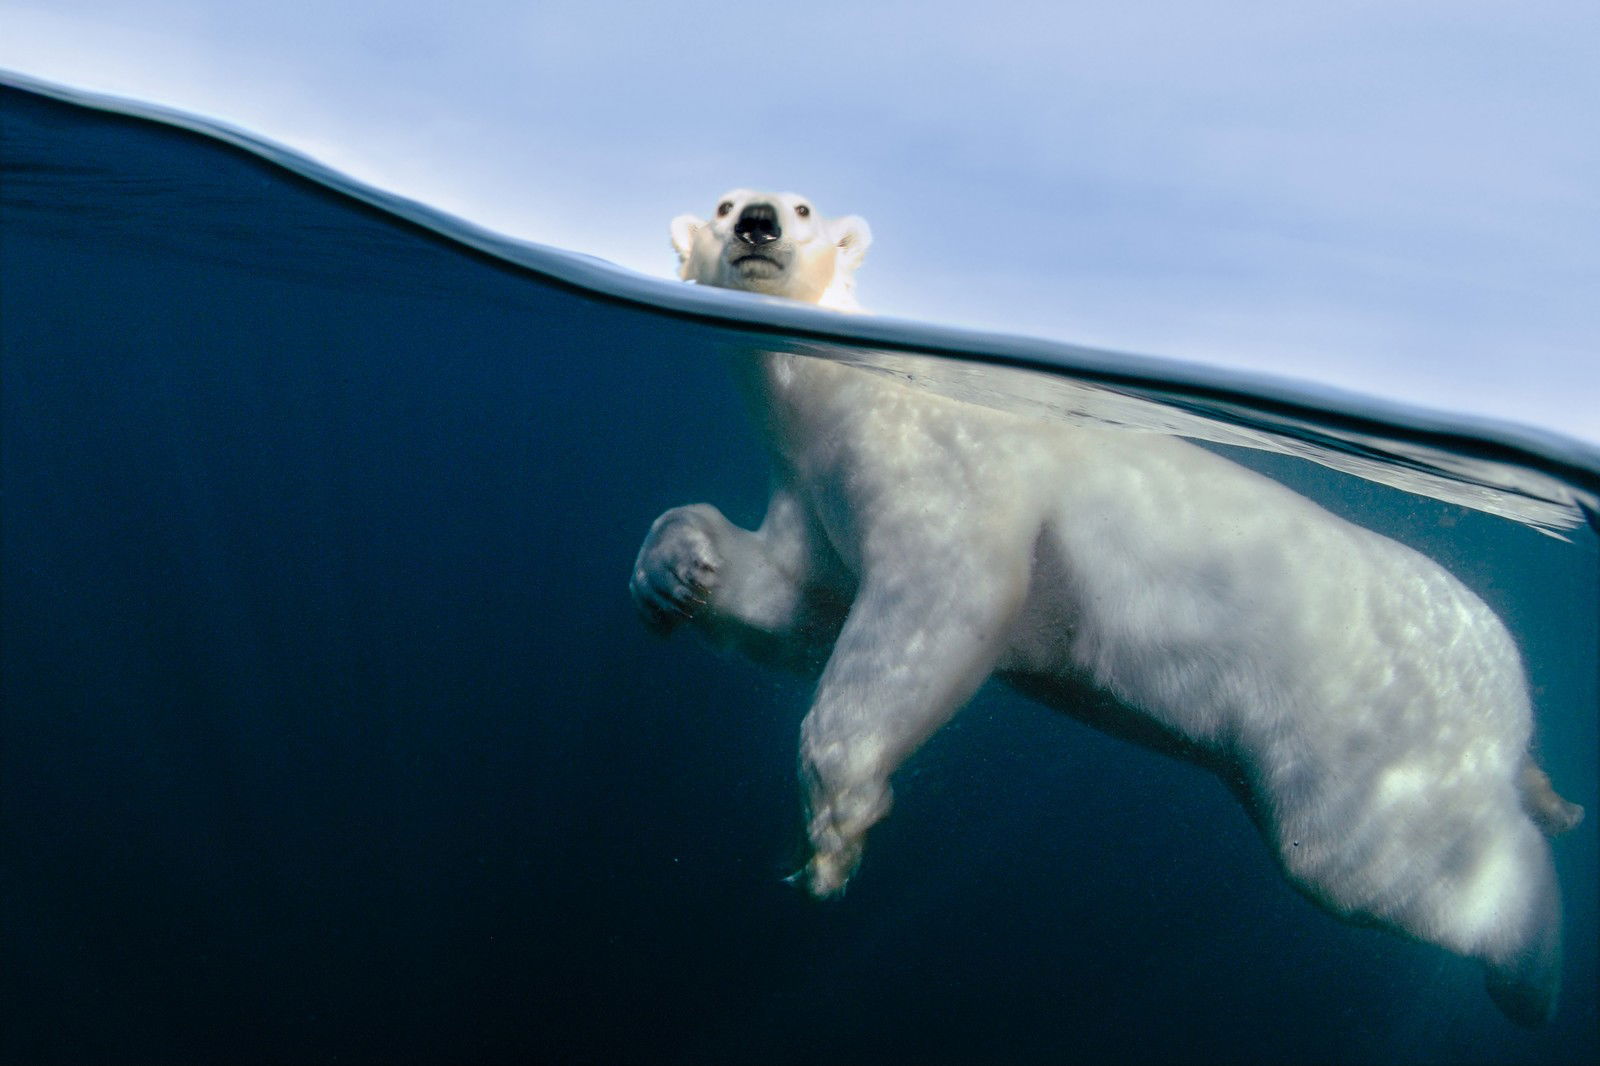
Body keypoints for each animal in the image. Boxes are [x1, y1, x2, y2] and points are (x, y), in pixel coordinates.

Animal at [631, 188, 1584, 1025]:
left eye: (800, 207)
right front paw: (677, 571)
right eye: (723, 204)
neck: (847, 389)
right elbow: (798, 601)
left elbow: (945, 592)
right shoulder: (814, 483)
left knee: (1376, 867)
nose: (756, 224)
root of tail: (1509, 708)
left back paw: (1535, 973)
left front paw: (833, 833)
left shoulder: (939, 453)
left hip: (1360, 740)